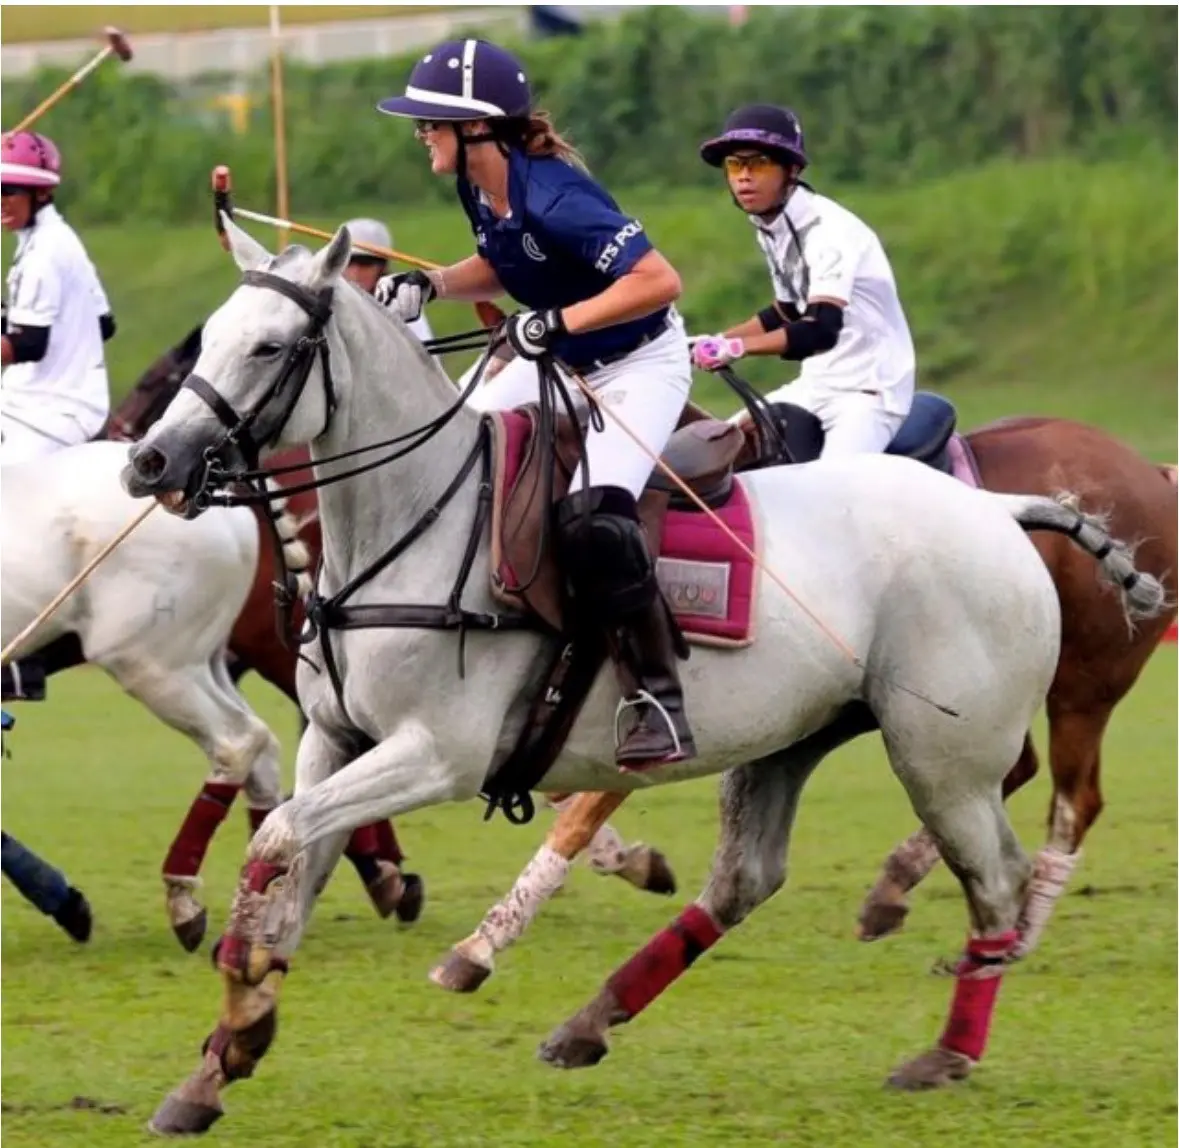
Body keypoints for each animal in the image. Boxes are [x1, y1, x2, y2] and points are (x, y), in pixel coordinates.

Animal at [123, 221, 1164, 1135]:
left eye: (269, 346)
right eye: (208, 338)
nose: (149, 460)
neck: (414, 519)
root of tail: (998, 509)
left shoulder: (439, 755)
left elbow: (282, 842)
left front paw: (241, 1014)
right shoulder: (338, 740)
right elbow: (287, 866)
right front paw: (221, 1059)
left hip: (945, 753)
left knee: (1000, 873)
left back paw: (946, 1049)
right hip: (802, 733)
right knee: (747, 877)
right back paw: (589, 1021)